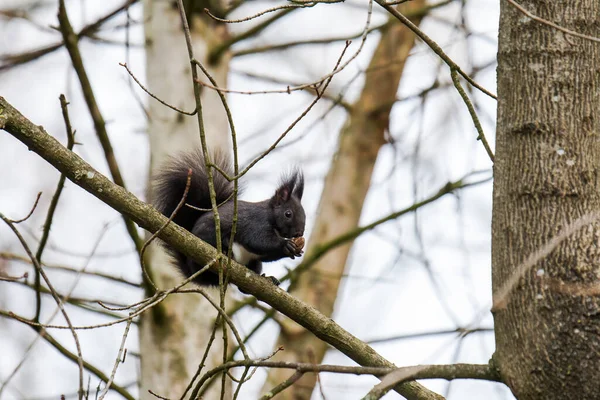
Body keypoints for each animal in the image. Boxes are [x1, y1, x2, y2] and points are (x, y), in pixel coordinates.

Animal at [152, 148, 308, 286]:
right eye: (288, 214)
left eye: (304, 215)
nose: (299, 233)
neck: (270, 216)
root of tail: (190, 268)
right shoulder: (255, 222)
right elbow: (259, 241)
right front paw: (285, 245)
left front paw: (295, 250)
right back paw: (226, 251)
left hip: (254, 264)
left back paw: (269, 279)